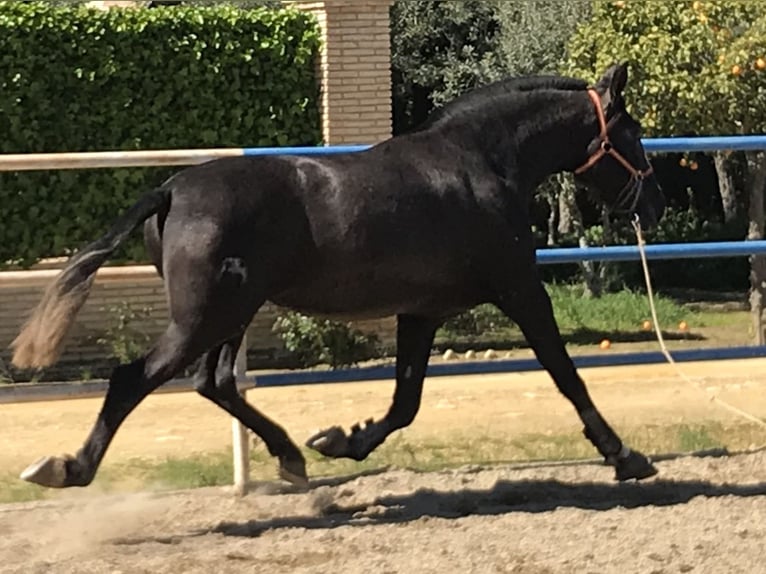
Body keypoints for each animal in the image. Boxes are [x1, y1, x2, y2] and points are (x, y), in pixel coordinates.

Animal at [12, 64, 664, 496]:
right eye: (632, 135)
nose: (657, 204)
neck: (481, 164)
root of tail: (171, 189)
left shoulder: (421, 311)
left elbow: (405, 402)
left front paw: (338, 440)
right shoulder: (521, 291)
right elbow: (565, 374)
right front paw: (626, 456)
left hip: (232, 313)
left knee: (215, 382)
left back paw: (291, 458)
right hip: (206, 316)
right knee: (134, 379)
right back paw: (66, 469)